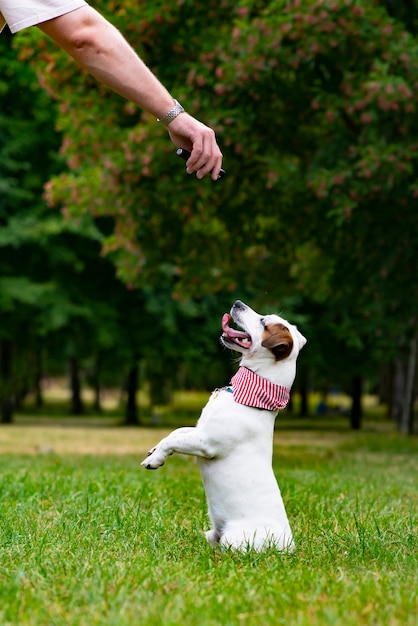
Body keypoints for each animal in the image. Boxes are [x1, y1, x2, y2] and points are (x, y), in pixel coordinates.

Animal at [141, 300, 306, 548]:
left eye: (263, 322)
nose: (238, 303)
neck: (246, 395)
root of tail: (288, 546)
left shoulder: (206, 443)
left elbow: (174, 441)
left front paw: (155, 459)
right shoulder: (199, 430)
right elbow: (176, 432)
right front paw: (154, 449)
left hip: (234, 538)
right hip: (211, 532)